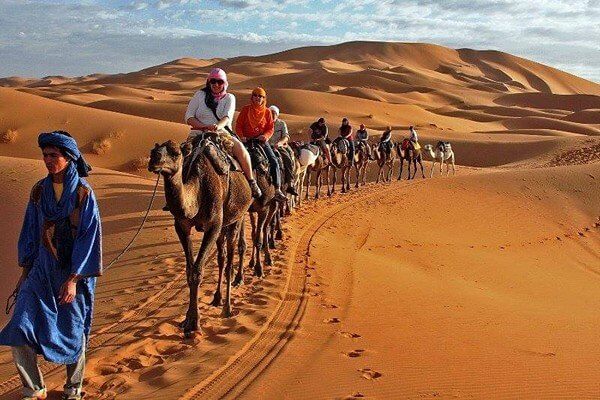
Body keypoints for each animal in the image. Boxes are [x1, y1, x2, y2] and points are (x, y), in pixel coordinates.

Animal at [151, 136, 254, 336]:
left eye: (176, 153)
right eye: (155, 149)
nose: (154, 158)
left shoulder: (213, 225)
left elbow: (198, 271)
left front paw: (194, 323)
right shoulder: (182, 226)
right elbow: (190, 270)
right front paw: (186, 320)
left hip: (236, 217)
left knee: (231, 260)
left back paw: (227, 308)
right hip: (224, 225)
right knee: (222, 258)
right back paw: (217, 298)